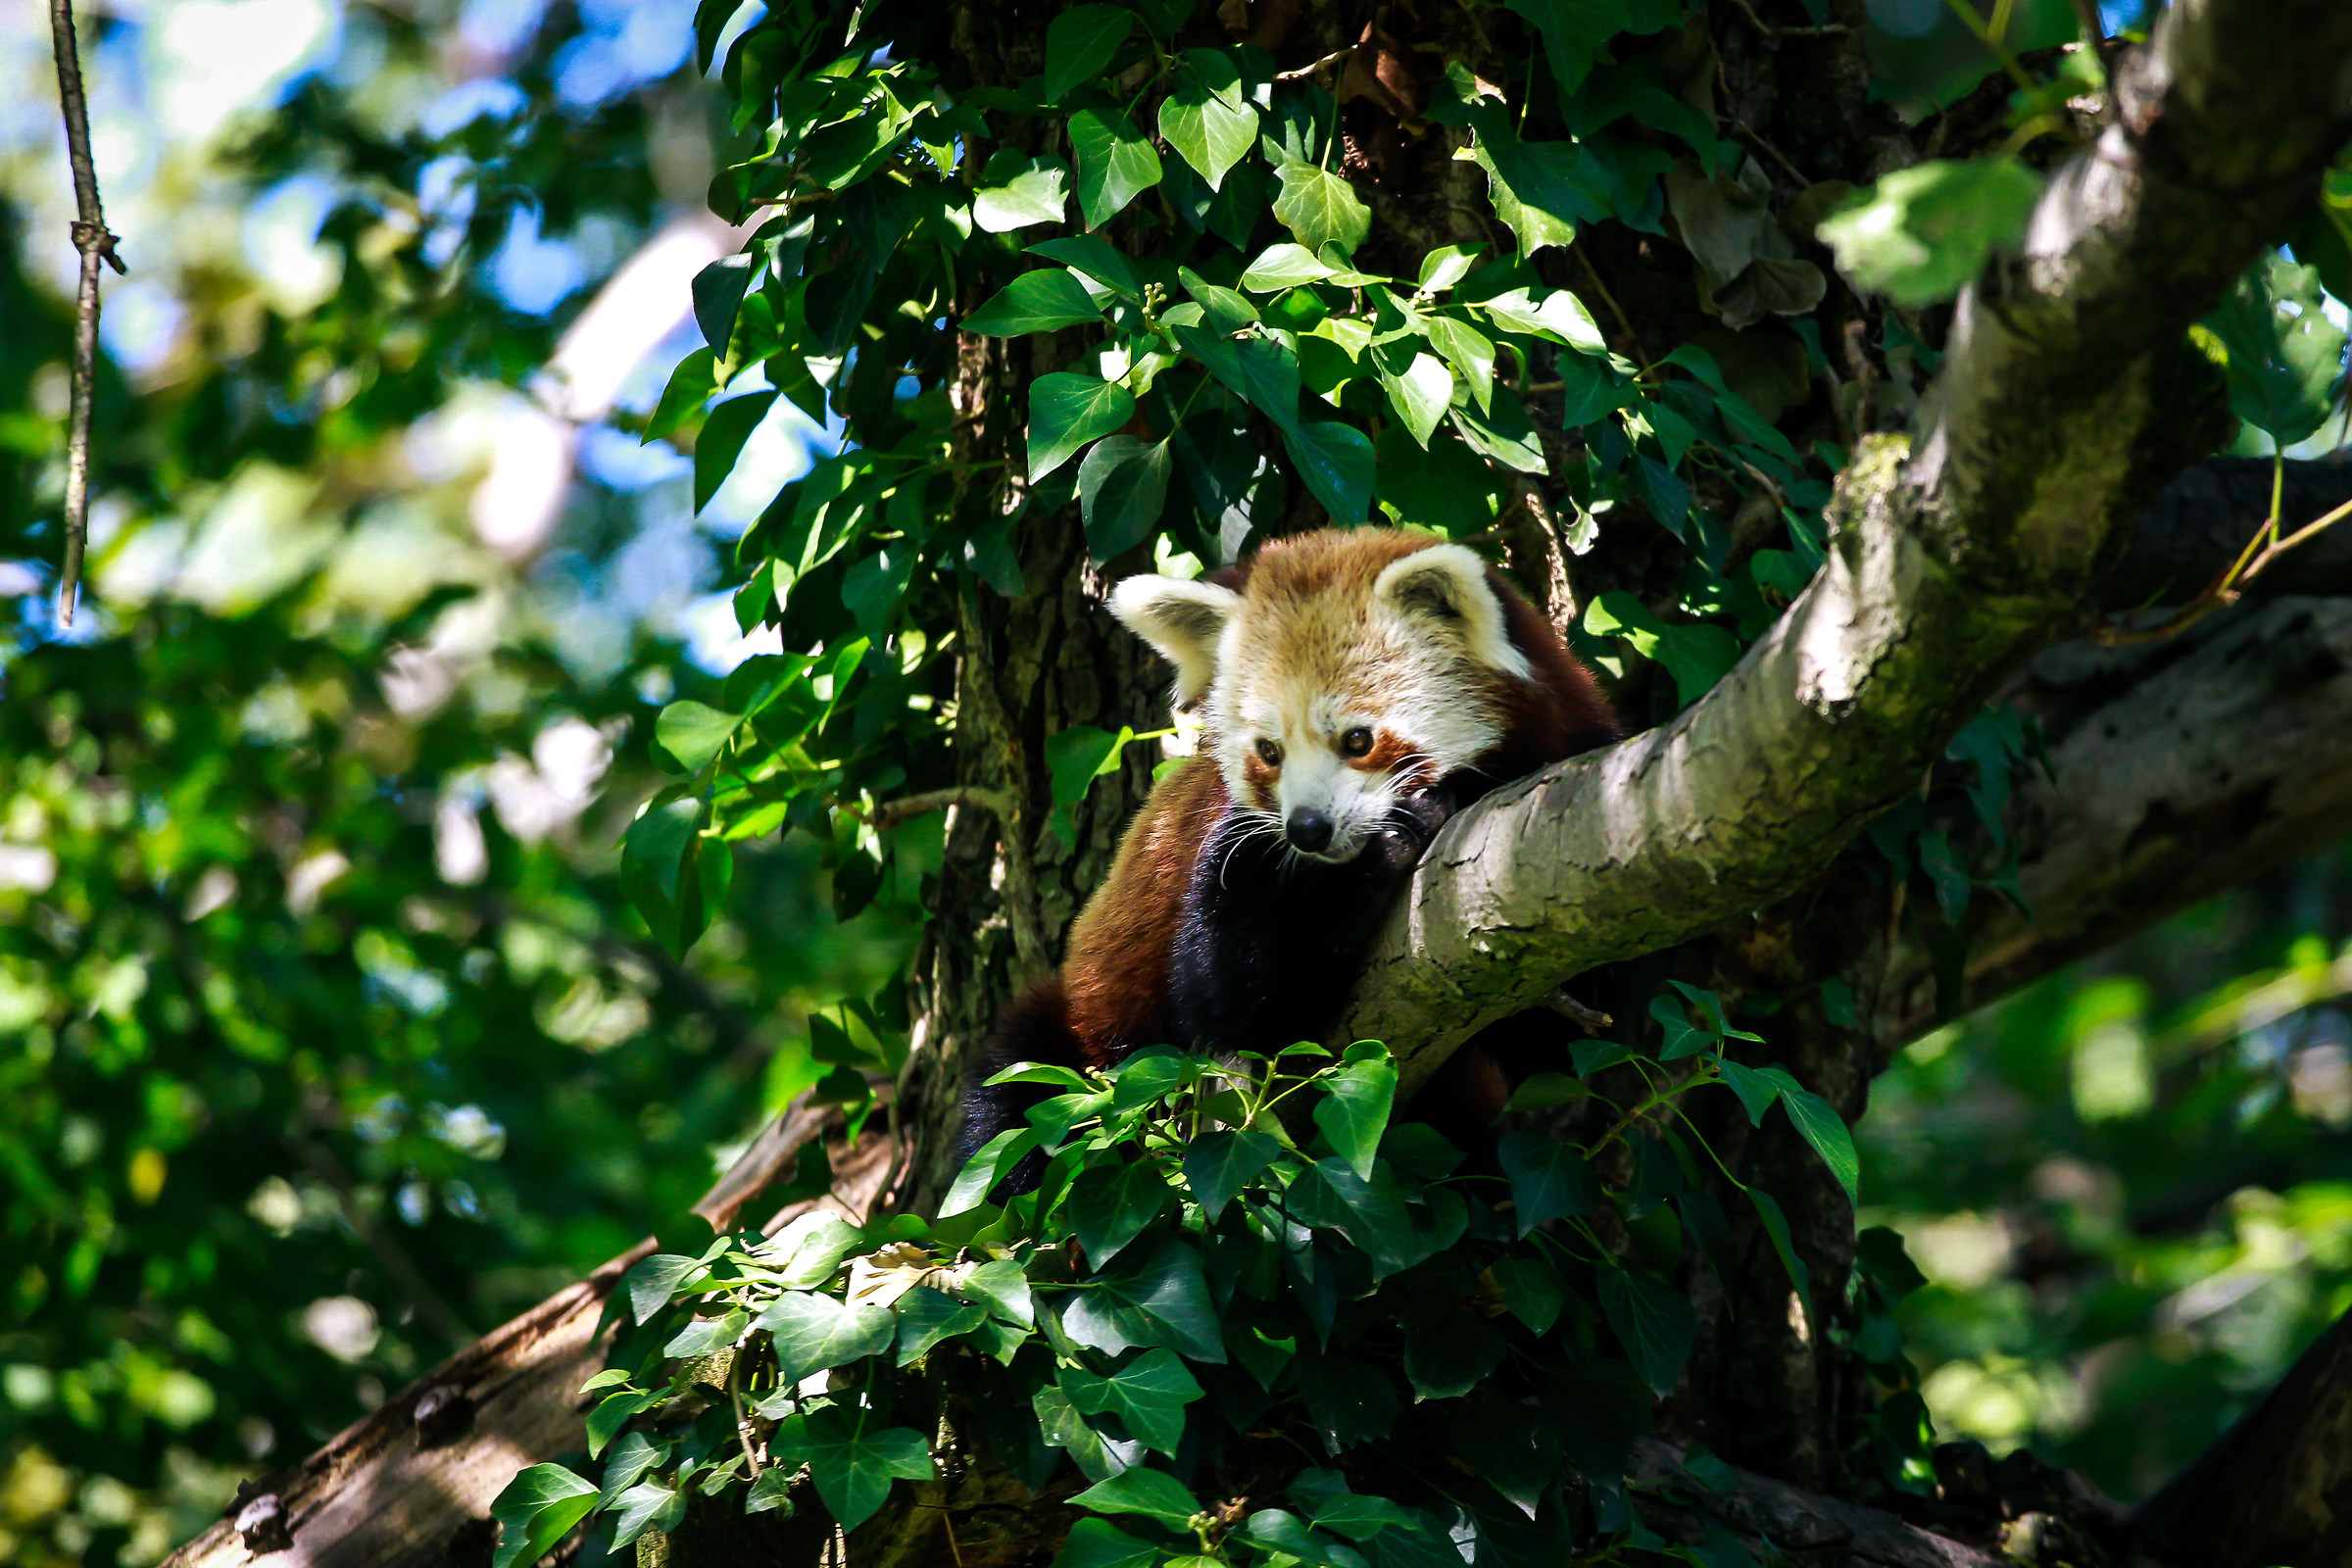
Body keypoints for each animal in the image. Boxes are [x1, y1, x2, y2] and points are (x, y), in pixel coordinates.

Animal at [961, 527, 1622, 1175]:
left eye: (1357, 740)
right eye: (1269, 751)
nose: (1308, 829)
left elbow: (1559, 1042)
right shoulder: (1228, 847)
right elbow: (1230, 998)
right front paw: (1385, 848)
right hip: (1075, 1039)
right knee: (1013, 1101)